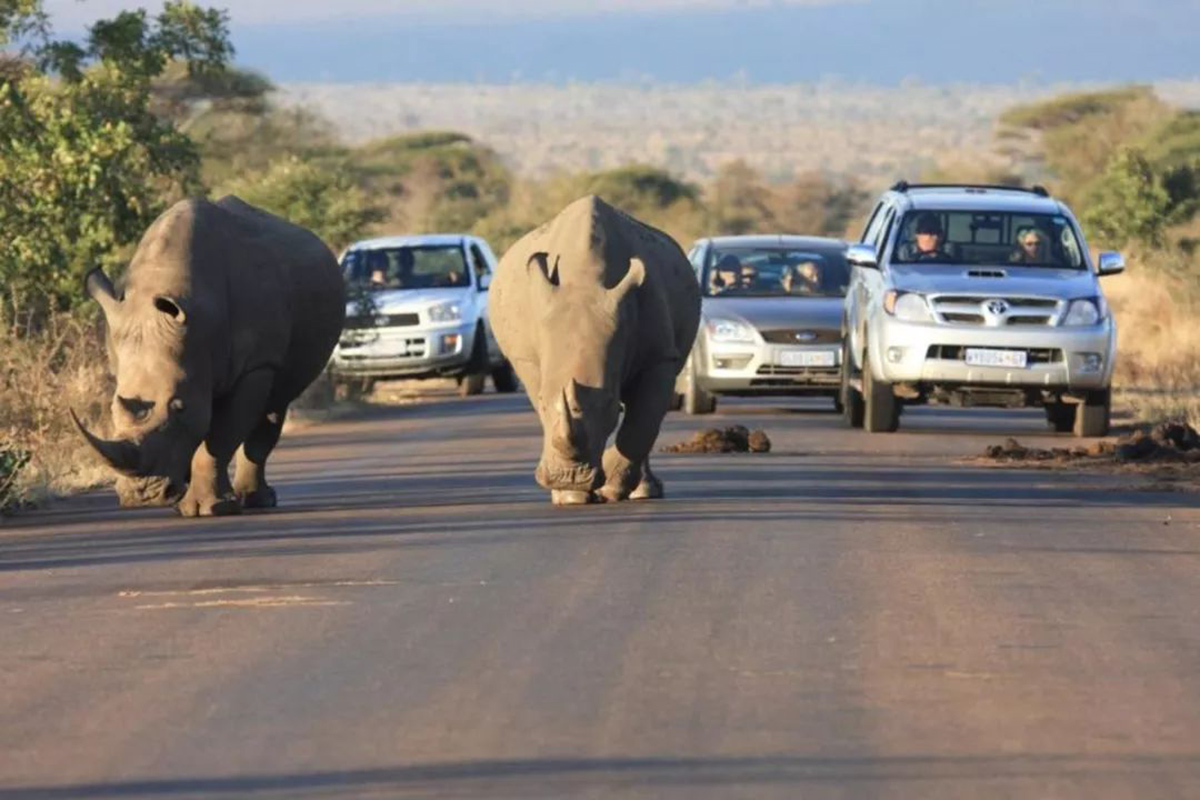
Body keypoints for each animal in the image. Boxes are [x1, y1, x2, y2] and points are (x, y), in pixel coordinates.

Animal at [76, 196, 343, 515]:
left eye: (179, 407)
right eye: (112, 410)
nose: (141, 495)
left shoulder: (256, 364)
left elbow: (220, 437)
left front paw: (208, 508)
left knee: (275, 404)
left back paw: (254, 501)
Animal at [489, 196, 700, 503]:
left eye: (610, 404)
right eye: (542, 400)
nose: (570, 477)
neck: (584, 279)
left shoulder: (658, 356)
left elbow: (642, 425)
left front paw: (609, 487)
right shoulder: (528, 359)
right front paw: (571, 495)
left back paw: (643, 491)